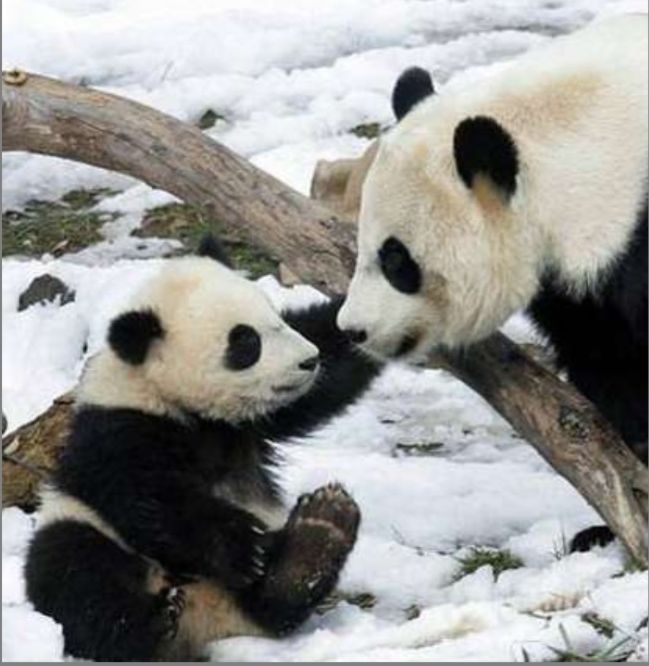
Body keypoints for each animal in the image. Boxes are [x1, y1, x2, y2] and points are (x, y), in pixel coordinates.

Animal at [25, 237, 380, 662]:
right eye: (246, 342)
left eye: (276, 318)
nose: (309, 361)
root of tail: (206, 619)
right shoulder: (119, 428)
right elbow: (150, 498)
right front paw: (242, 548)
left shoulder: (254, 424)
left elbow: (333, 363)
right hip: (78, 525)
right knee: (76, 575)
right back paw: (152, 622)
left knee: (271, 604)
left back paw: (320, 533)